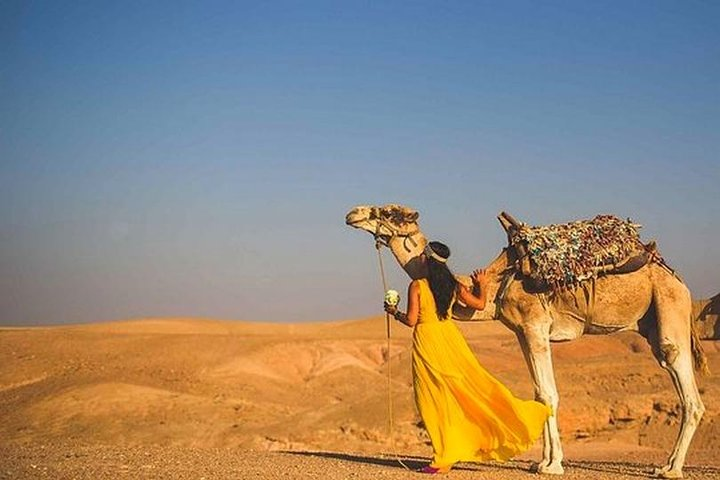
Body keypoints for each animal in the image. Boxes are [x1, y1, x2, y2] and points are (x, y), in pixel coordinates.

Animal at [348, 204, 708, 478]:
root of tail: (679, 279)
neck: (498, 283)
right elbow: (539, 393)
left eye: (390, 212)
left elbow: (549, 394)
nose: (353, 213)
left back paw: (670, 469)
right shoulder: (522, 332)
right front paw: (542, 461)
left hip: (669, 307)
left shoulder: (536, 326)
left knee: (686, 386)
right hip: (651, 320)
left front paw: (553, 466)